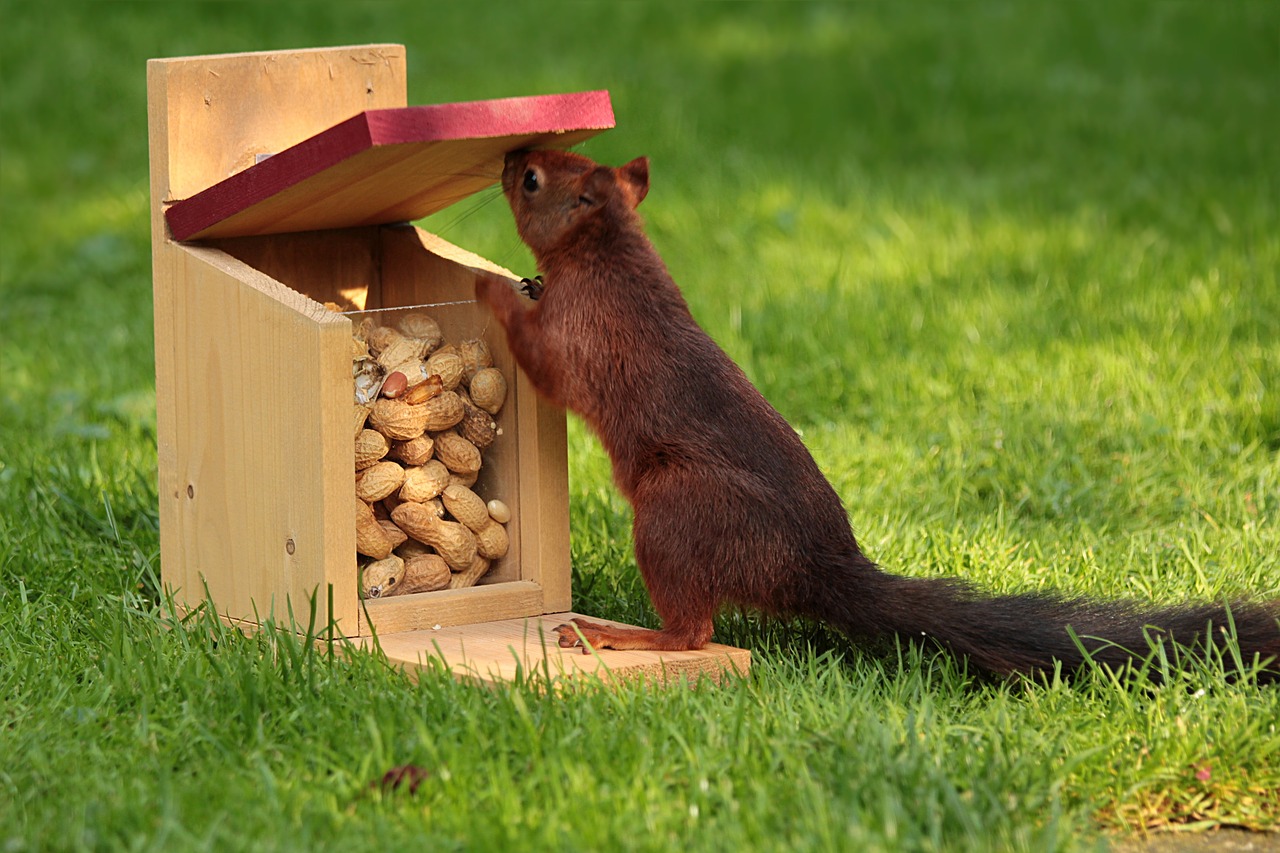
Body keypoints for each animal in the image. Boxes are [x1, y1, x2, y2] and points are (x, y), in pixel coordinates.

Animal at [473, 146, 1280, 676]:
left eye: (533, 179)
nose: (510, 153)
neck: (609, 251)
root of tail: (812, 568)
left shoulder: (584, 334)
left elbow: (541, 360)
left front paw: (490, 291)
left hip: (675, 513)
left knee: (694, 633)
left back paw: (617, 636)